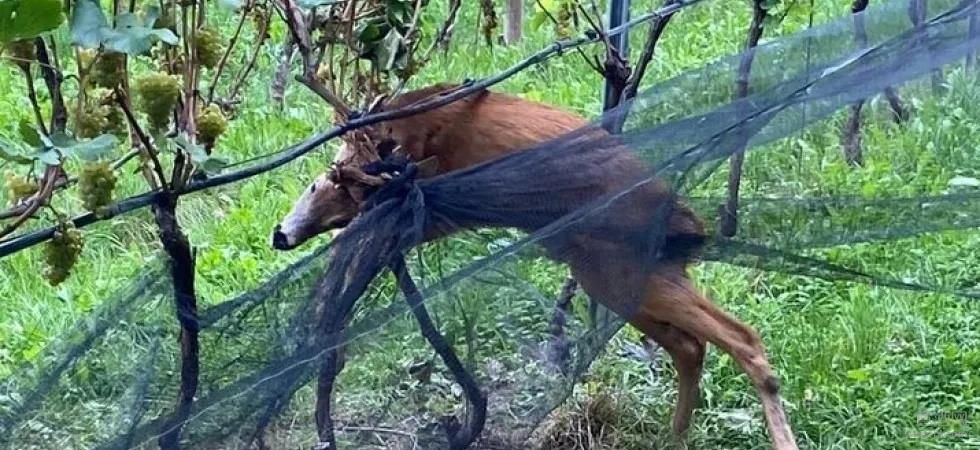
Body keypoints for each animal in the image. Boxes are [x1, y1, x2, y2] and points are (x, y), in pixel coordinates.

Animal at [268, 82, 796, 448]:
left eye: (317, 185)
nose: (280, 235)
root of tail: (683, 219)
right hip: (615, 279)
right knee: (691, 346)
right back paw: (676, 435)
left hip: (623, 273)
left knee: (743, 338)